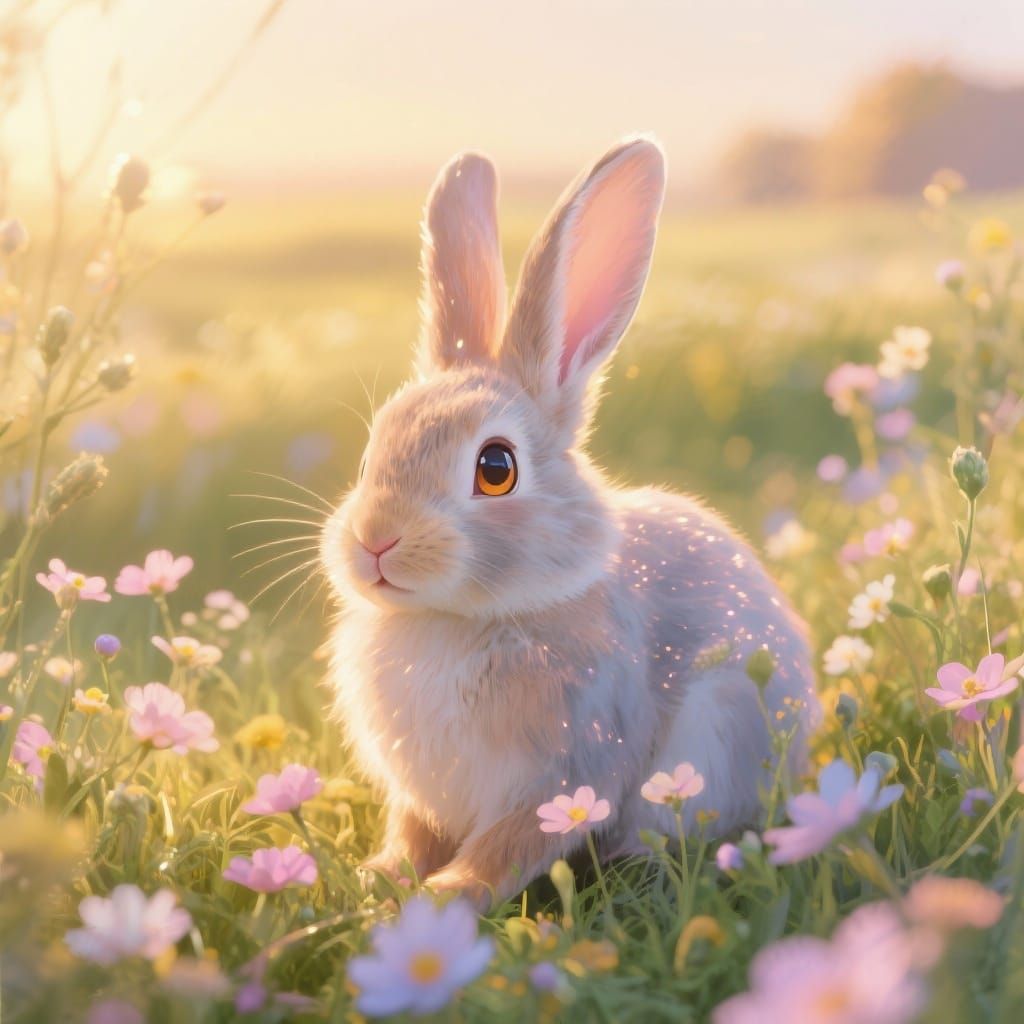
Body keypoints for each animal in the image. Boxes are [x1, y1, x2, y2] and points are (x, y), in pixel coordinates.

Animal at [321, 136, 820, 910]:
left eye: (496, 467)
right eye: (372, 451)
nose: (376, 540)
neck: (455, 622)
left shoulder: (567, 768)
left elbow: (507, 847)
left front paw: (446, 896)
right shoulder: (422, 797)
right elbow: (411, 835)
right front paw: (380, 880)